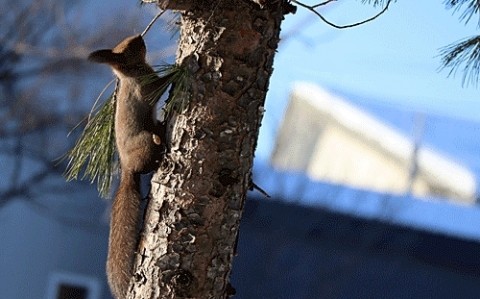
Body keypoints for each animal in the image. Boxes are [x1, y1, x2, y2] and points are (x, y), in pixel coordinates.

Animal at [88, 35, 171, 299]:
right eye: (129, 47)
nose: (140, 37)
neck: (132, 73)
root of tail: (127, 169)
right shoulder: (144, 89)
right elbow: (159, 87)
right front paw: (182, 65)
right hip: (143, 143)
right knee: (147, 162)